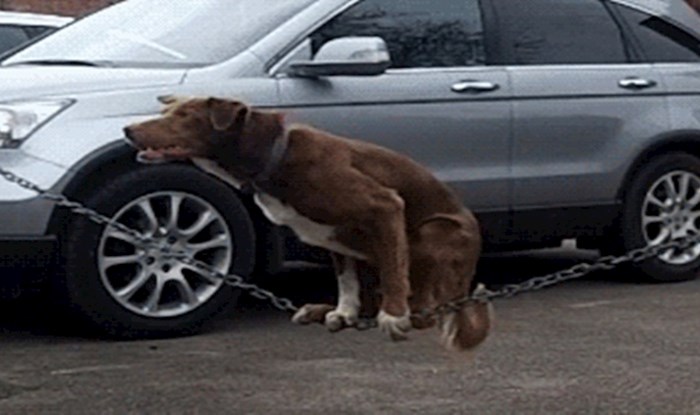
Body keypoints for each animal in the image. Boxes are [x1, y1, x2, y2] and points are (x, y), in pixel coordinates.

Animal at [124, 96, 492, 352]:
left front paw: (393, 315)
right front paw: (344, 312)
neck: (272, 155)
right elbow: (346, 281)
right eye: (168, 112)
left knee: (427, 310)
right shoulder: (336, 239)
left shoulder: (385, 206)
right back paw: (322, 310)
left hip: (433, 232)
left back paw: (407, 315)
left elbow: (393, 275)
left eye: (184, 117)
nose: (128, 130)